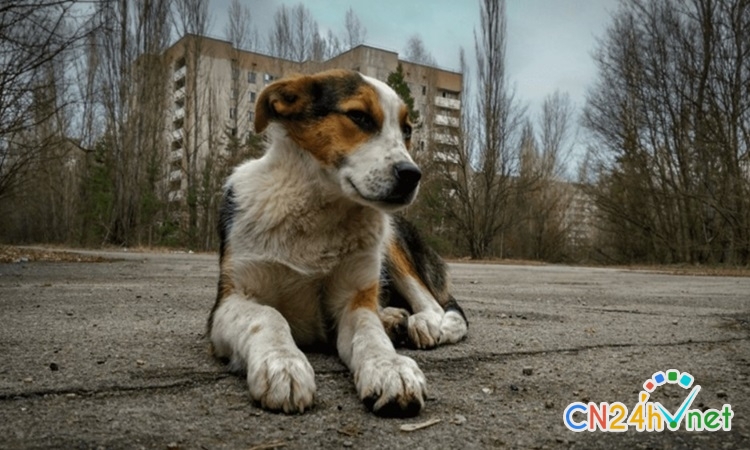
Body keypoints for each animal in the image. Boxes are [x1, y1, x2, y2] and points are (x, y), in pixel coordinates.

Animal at [209, 68, 470, 416]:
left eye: (407, 130)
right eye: (358, 116)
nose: (412, 175)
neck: (319, 211)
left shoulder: (353, 300)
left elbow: (370, 335)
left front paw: (390, 367)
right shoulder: (230, 300)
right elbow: (267, 316)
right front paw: (283, 363)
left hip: (390, 239)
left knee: (437, 305)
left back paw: (426, 323)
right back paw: (393, 318)